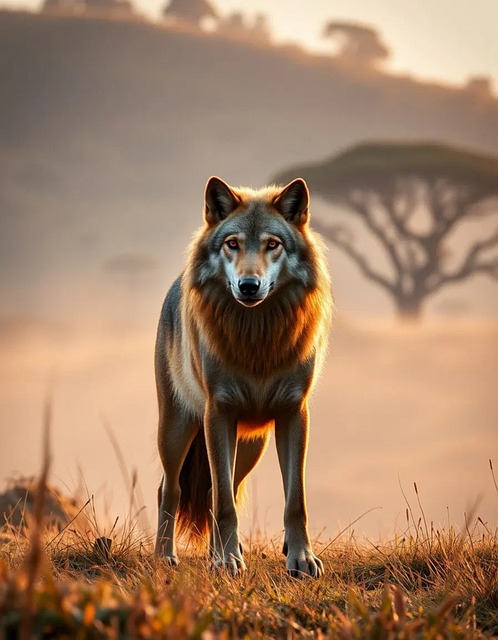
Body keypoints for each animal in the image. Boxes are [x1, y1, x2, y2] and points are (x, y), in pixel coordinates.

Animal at [154, 176, 332, 577]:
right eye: (232, 243)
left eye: (272, 244)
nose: (249, 286)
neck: (258, 339)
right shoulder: (218, 412)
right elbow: (224, 504)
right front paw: (227, 560)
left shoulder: (293, 413)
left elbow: (294, 502)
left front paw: (301, 559)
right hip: (177, 430)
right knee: (170, 490)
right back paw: (166, 556)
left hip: (252, 444)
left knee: (214, 492)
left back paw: (216, 553)